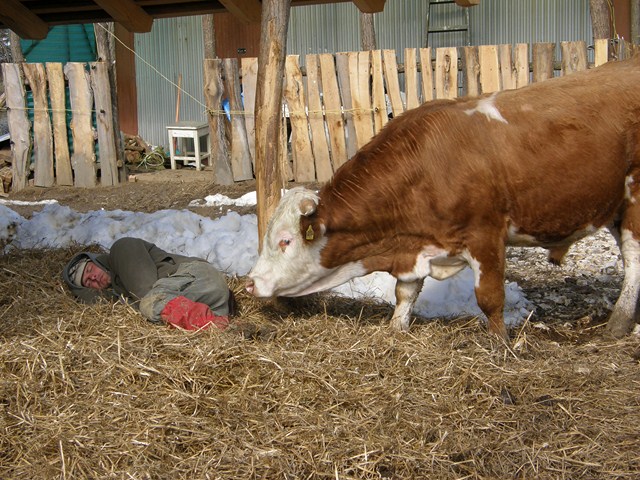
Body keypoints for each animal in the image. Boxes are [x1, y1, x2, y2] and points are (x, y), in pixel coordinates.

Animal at [245, 56, 640, 340]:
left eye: (285, 241)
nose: (250, 282)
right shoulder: (415, 246)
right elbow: (405, 293)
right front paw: (396, 329)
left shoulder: (485, 235)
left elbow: (490, 298)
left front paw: (499, 344)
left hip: (635, 197)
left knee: (634, 259)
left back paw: (618, 325)